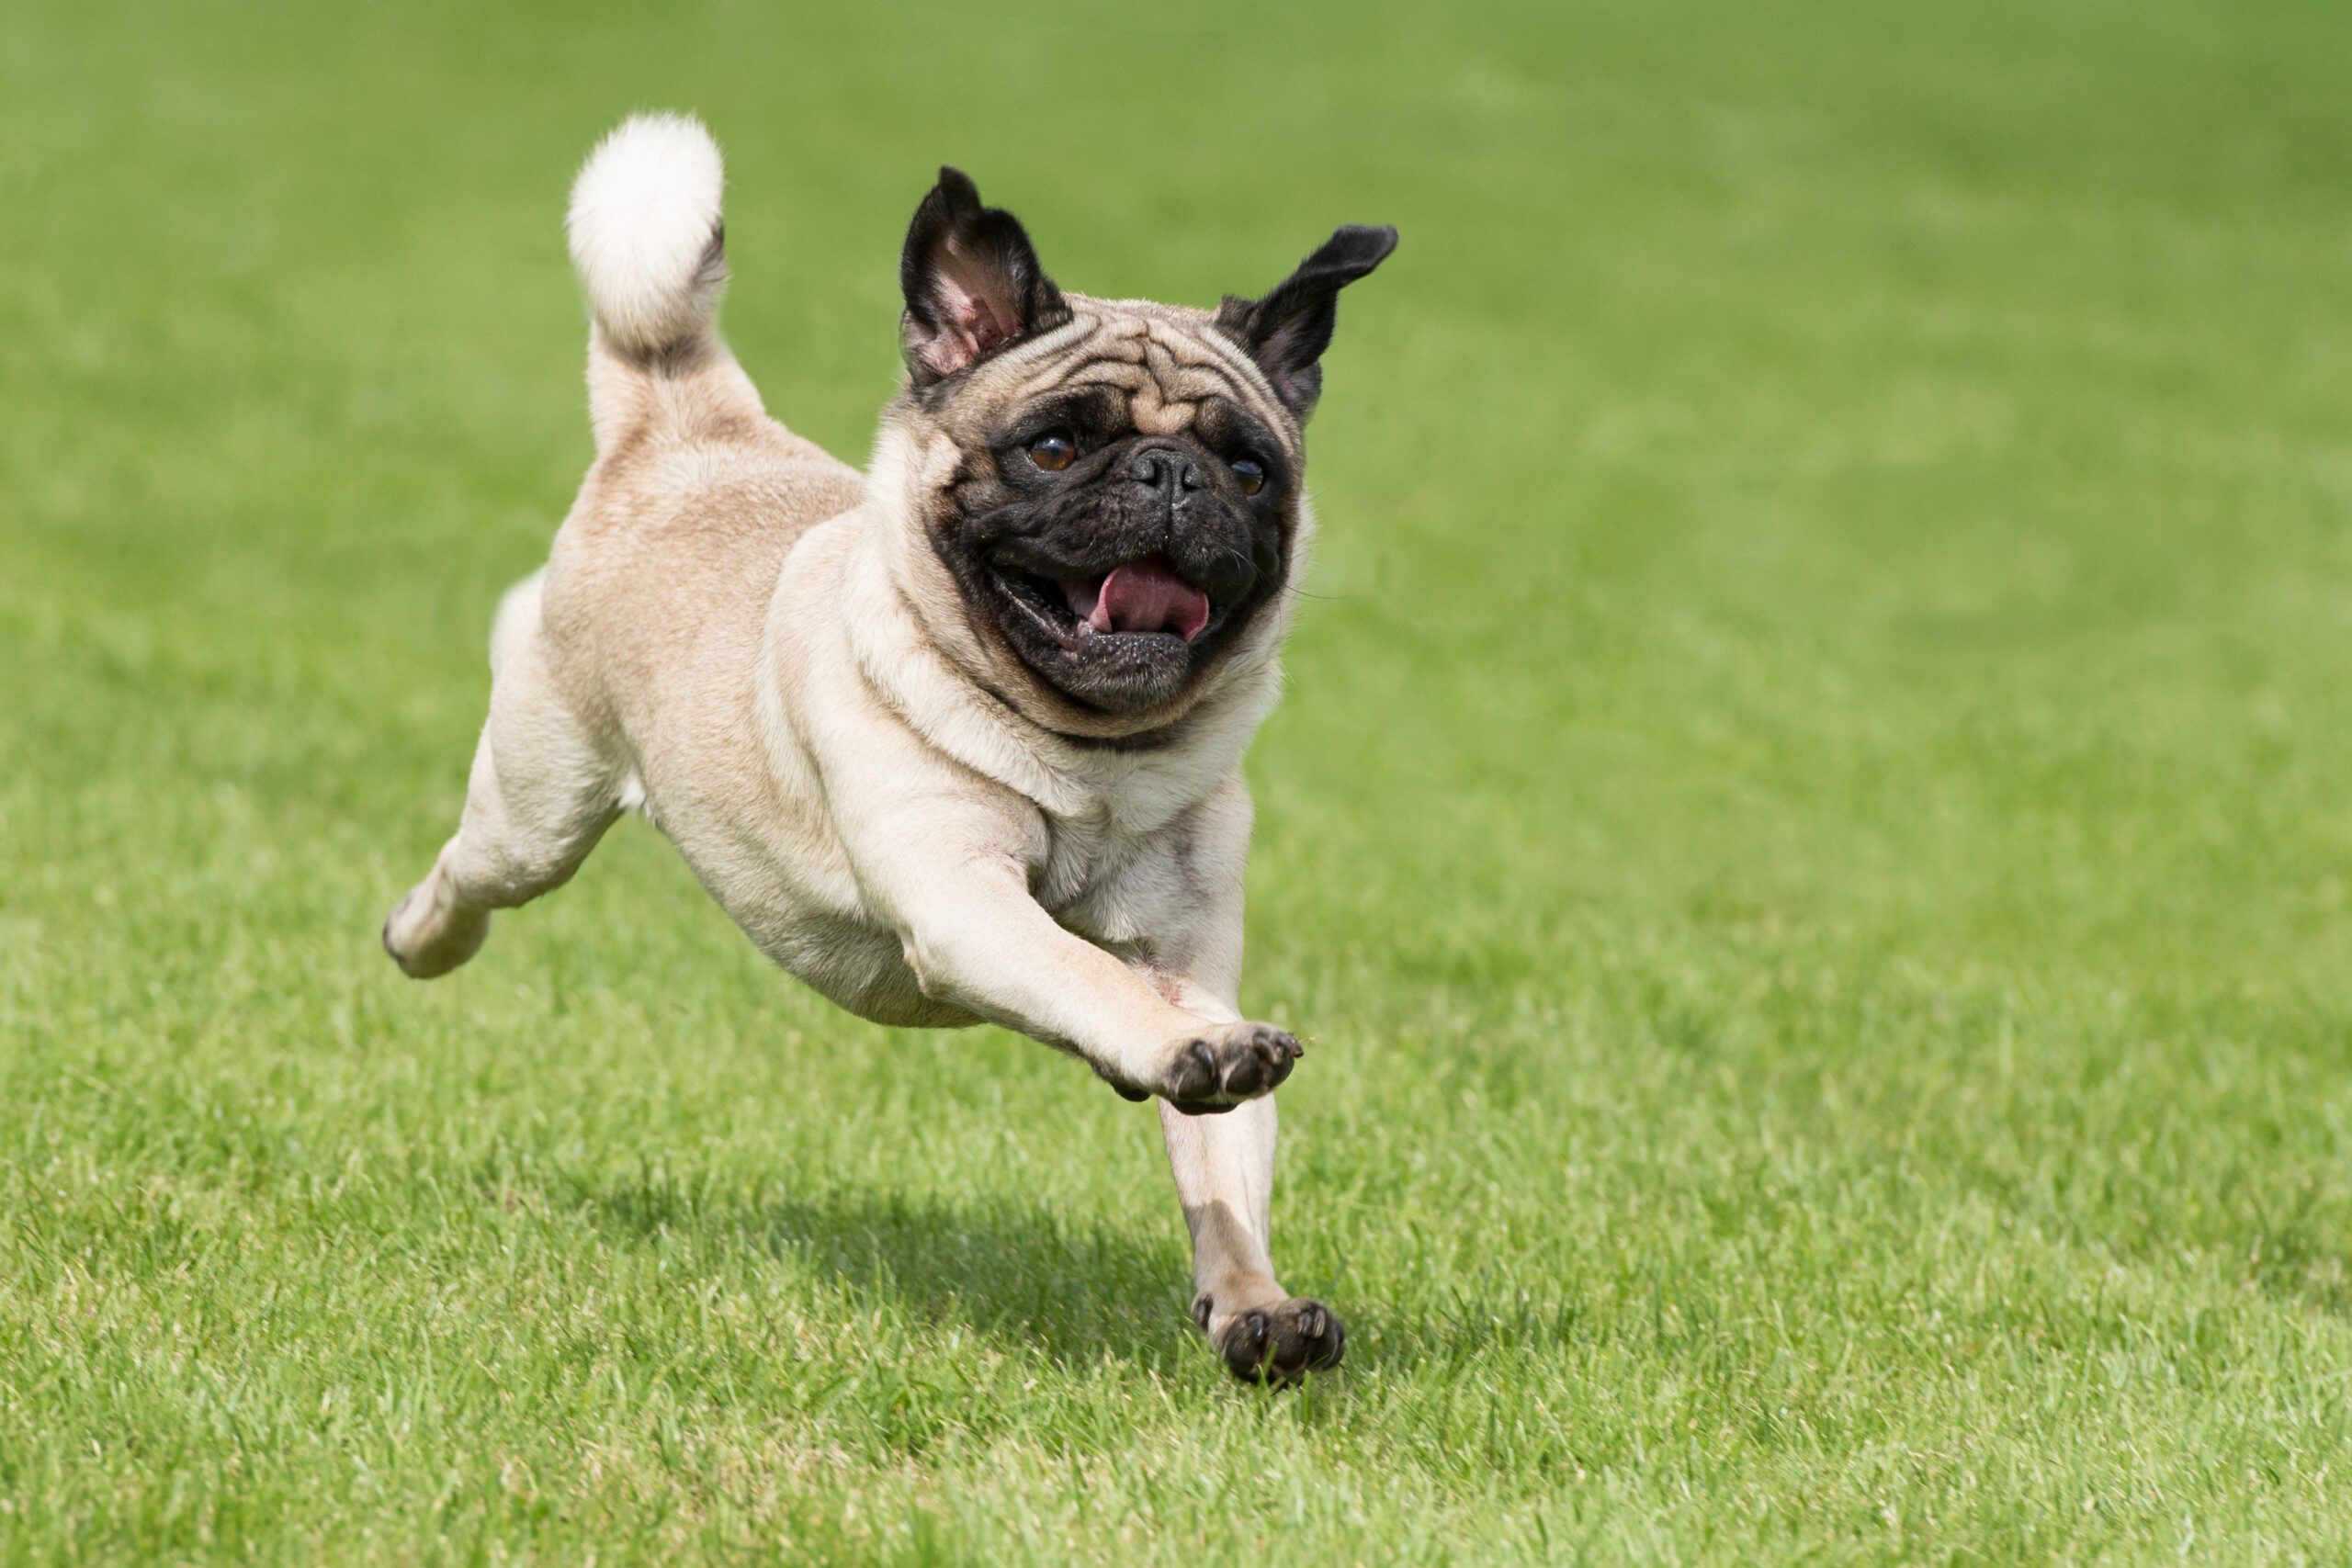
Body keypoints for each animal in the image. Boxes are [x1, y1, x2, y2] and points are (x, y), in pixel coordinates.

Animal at [385, 116, 1392, 1382]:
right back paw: (419, 937)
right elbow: (1089, 976)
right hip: (539, 808)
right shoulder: (965, 902)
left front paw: (1254, 1303)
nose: (1171, 475)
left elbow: (1222, 1163)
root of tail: (692, 427)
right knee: (471, 871)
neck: (1095, 756)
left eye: (1251, 472)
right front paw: (1167, 1049)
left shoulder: (1194, 959)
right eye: (1054, 449)